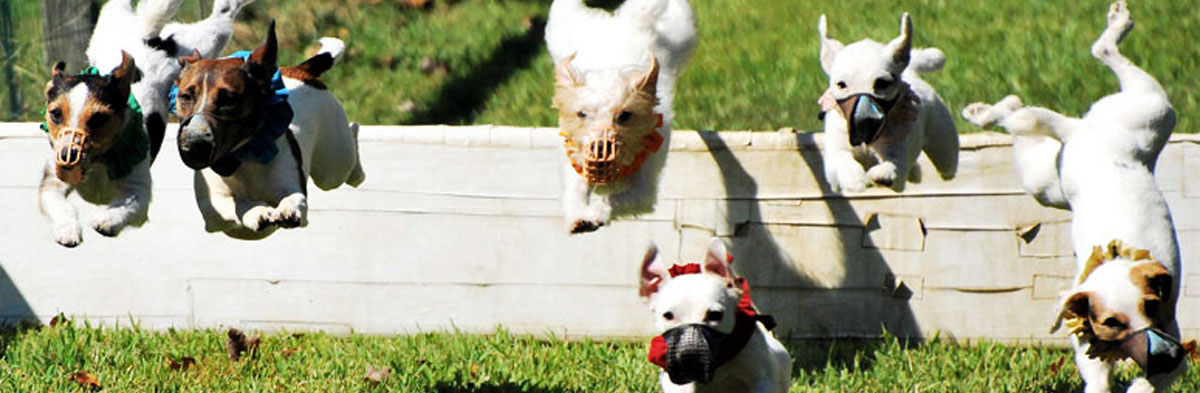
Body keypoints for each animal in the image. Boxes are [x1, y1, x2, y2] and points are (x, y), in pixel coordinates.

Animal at [171, 24, 362, 240]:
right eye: (185, 97)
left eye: (228, 99)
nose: (194, 143)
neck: (243, 157)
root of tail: (298, 71)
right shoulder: (212, 211)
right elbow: (236, 202)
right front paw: (257, 211)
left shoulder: (292, 186)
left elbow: (295, 198)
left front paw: (287, 209)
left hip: (333, 163)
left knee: (347, 152)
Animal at [542, 0, 700, 233]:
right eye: (582, 114)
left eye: (624, 115)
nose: (600, 146)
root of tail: (630, 23)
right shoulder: (574, 161)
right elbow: (575, 190)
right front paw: (579, 216)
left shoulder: (644, 190)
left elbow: (617, 199)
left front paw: (597, 213)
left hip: (682, 33)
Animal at [816, 13, 955, 192]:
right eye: (841, 84)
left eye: (881, 83)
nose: (864, 119)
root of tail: (911, 71)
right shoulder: (835, 154)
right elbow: (842, 160)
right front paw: (854, 179)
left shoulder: (897, 151)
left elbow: (893, 165)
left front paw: (881, 175)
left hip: (944, 146)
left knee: (947, 165)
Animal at [960, 1, 1185, 390]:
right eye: (1111, 322)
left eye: (1151, 304)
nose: (1162, 354)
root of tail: (1084, 133)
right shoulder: (1088, 344)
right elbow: (1098, 376)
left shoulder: (1171, 336)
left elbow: (1146, 382)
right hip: (1056, 176)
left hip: (1142, 116)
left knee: (1099, 56)